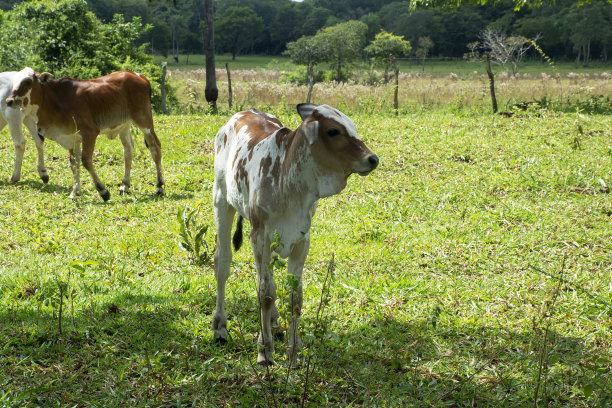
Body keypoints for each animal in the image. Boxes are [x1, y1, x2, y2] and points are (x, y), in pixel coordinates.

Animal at [5, 68, 163, 201]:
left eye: (27, 82)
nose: (9, 101)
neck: (54, 100)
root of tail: (137, 75)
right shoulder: (71, 137)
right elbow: (74, 164)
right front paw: (75, 192)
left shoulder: (90, 132)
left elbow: (86, 161)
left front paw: (103, 191)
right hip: (124, 125)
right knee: (128, 151)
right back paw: (125, 185)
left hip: (144, 121)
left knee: (155, 147)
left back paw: (160, 187)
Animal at [214, 103, 378, 364]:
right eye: (333, 131)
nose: (372, 159)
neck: (288, 180)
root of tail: (243, 112)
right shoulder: (260, 238)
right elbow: (265, 293)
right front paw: (264, 350)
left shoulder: (301, 241)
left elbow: (294, 297)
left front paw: (295, 351)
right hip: (222, 201)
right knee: (222, 265)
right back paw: (220, 327)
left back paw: (274, 324)